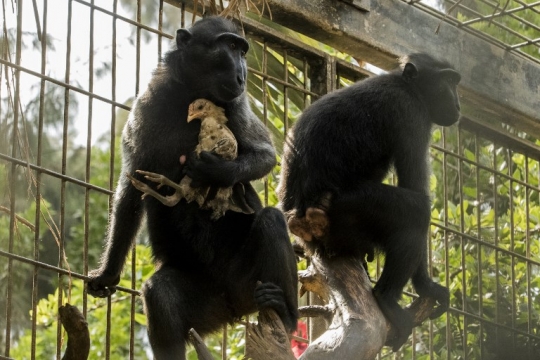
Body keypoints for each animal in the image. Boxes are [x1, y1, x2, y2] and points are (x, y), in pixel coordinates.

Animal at [88, 17, 300, 360]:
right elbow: (131, 188)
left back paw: (285, 311)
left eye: (242, 50)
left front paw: (214, 171)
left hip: (247, 284)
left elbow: (267, 155)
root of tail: (232, 308)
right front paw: (107, 273)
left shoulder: (236, 105)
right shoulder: (147, 106)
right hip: (206, 302)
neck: (191, 90)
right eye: (229, 47)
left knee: (269, 220)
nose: (242, 73)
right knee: (160, 294)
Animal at [278, 52, 460, 350]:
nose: (458, 103)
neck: (407, 84)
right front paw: (426, 286)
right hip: (350, 210)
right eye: (448, 81)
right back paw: (385, 298)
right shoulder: (411, 115)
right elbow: (416, 188)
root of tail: (301, 219)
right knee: (416, 212)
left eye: (456, 82)